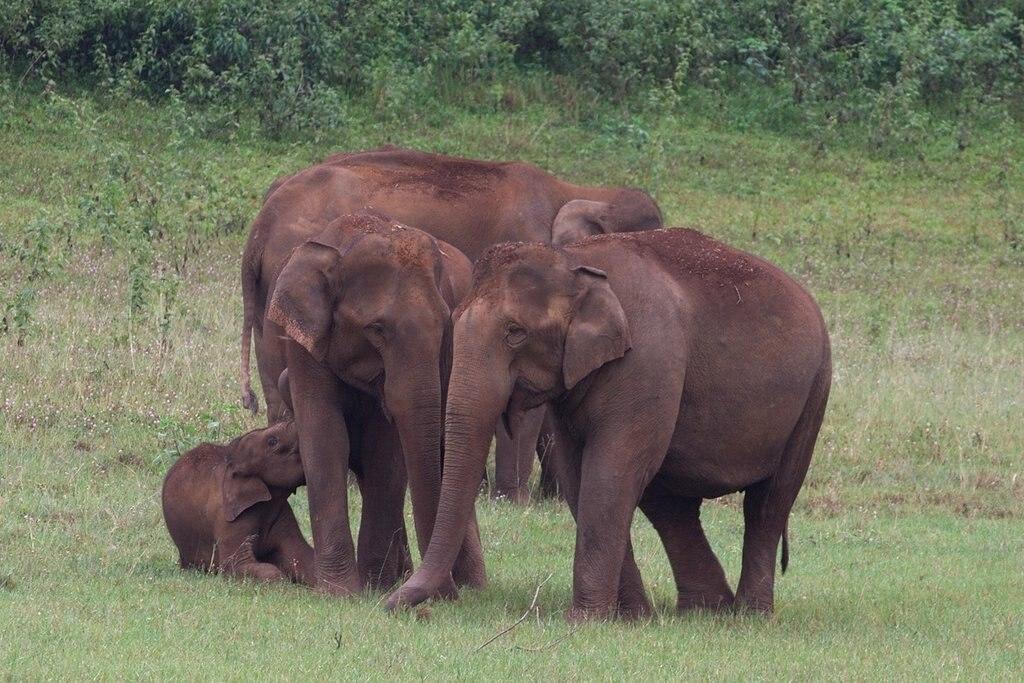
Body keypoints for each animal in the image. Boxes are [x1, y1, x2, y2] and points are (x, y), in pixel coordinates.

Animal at [161, 418, 313, 584]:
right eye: (272, 441)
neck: (231, 459)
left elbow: (302, 556)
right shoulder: (227, 517)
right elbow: (235, 565)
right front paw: (285, 584)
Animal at [265, 212, 486, 597]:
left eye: (445, 326)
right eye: (377, 329)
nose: (446, 596)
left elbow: (384, 451)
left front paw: (373, 586)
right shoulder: (305, 342)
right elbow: (325, 436)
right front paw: (341, 592)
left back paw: (471, 586)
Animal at [386, 228, 832, 619]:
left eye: (515, 332)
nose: (390, 605)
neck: (573, 259)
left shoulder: (647, 360)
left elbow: (609, 472)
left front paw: (584, 620)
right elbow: (579, 477)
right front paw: (630, 618)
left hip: (813, 394)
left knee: (768, 503)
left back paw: (749, 615)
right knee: (670, 504)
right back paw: (706, 610)